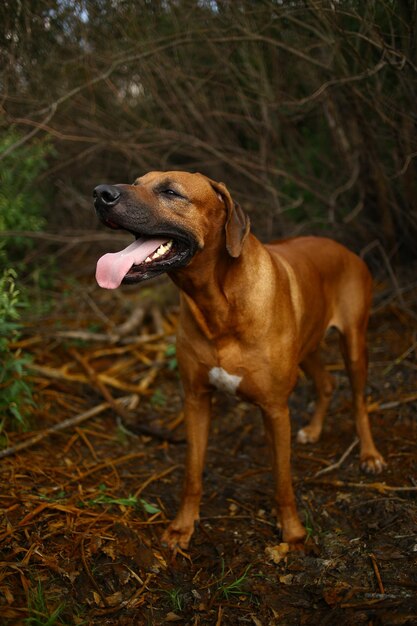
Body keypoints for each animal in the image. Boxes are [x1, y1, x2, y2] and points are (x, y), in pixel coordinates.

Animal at [92, 169, 386, 544]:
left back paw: (370, 454)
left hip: (355, 343)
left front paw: (292, 532)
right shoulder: (195, 399)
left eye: (171, 192)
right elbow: (192, 472)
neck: (219, 302)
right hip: (307, 346)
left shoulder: (275, 409)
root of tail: (346, 250)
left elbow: (282, 479)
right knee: (327, 383)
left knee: (359, 401)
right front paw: (183, 526)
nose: (100, 193)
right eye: (136, 181)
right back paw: (315, 429)